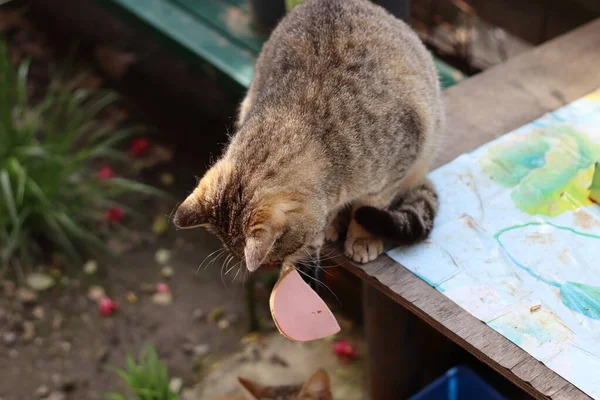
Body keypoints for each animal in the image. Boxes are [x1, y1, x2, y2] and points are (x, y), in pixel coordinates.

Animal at [173, 0, 440, 268]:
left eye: (279, 255)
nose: (271, 266)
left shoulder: (398, 163)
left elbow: (367, 206)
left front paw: (362, 238)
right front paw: (330, 226)